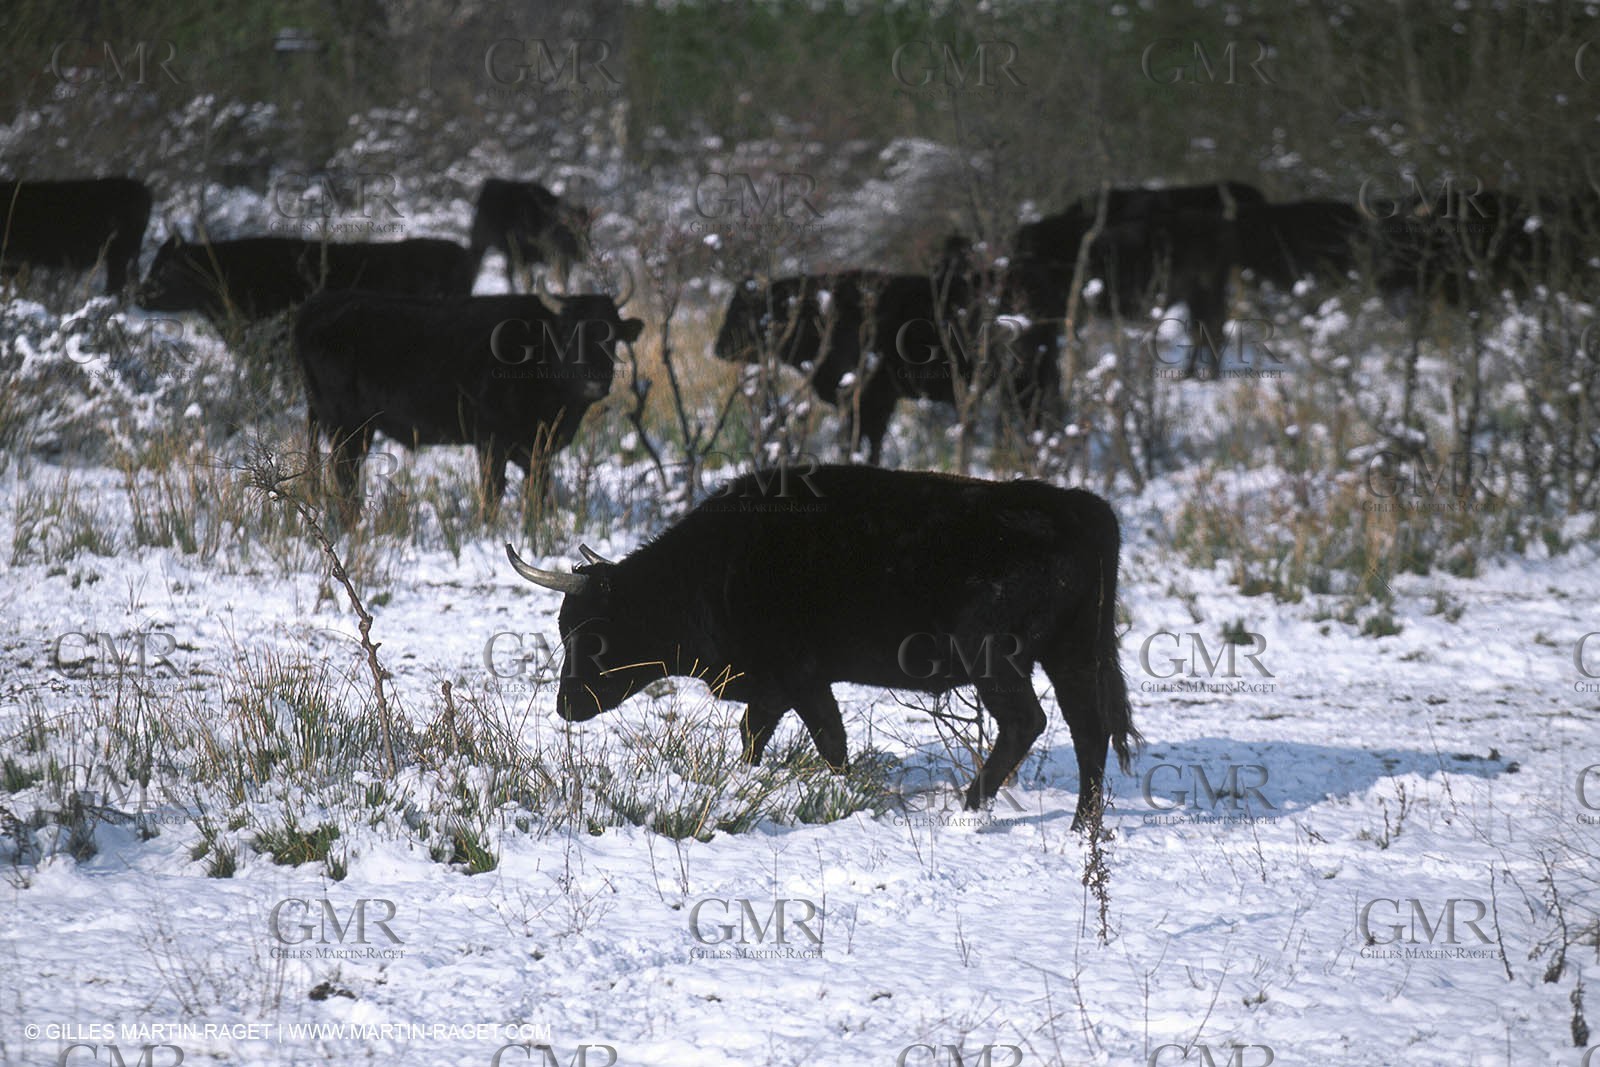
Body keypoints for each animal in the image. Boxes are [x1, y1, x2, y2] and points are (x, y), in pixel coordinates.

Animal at [294, 289, 642, 511]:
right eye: (569, 334)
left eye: (611, 336)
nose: (594, 383)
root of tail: (318, 304)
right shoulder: (490, 441)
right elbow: (492, 492)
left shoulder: (536, 450)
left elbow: (537, 492)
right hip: (347, 428)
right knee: (346, 477)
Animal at [505, 464, 1138, 830]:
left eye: (591, 628)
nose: (567, 704)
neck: (711, 567)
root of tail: (1082, 508)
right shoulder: (777, 688)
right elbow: (757, 738)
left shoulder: (800, 679)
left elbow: (828, 742)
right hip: (1072, 655)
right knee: (1088, 729)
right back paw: (1081, 826)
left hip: (998, 662)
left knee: (1029, 722)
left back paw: (970, 806)